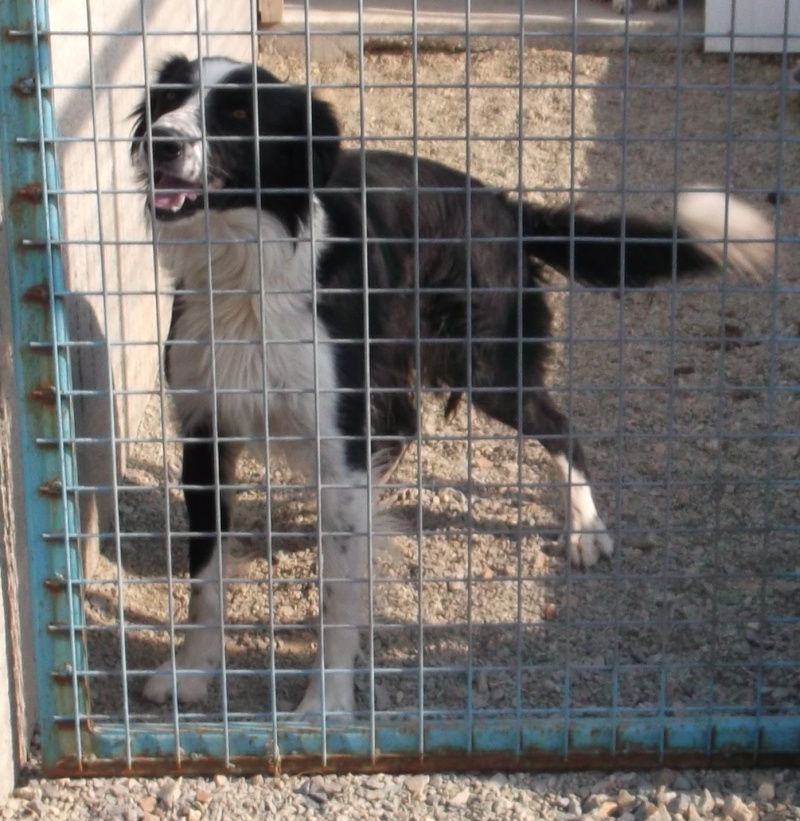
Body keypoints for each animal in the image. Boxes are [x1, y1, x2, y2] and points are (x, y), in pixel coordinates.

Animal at [133, 54, 776, 716]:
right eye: (168, 101)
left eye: (240, 115)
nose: (160, 143)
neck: (243, 270)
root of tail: (505, 207)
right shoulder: (206, 431)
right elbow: (206, 577)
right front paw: (191, 672)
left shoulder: (340, 428)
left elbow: (338, 598)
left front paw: (326, 705)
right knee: (405, 432)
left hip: (485, 368)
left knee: (559, 428)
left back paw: (585, 530)